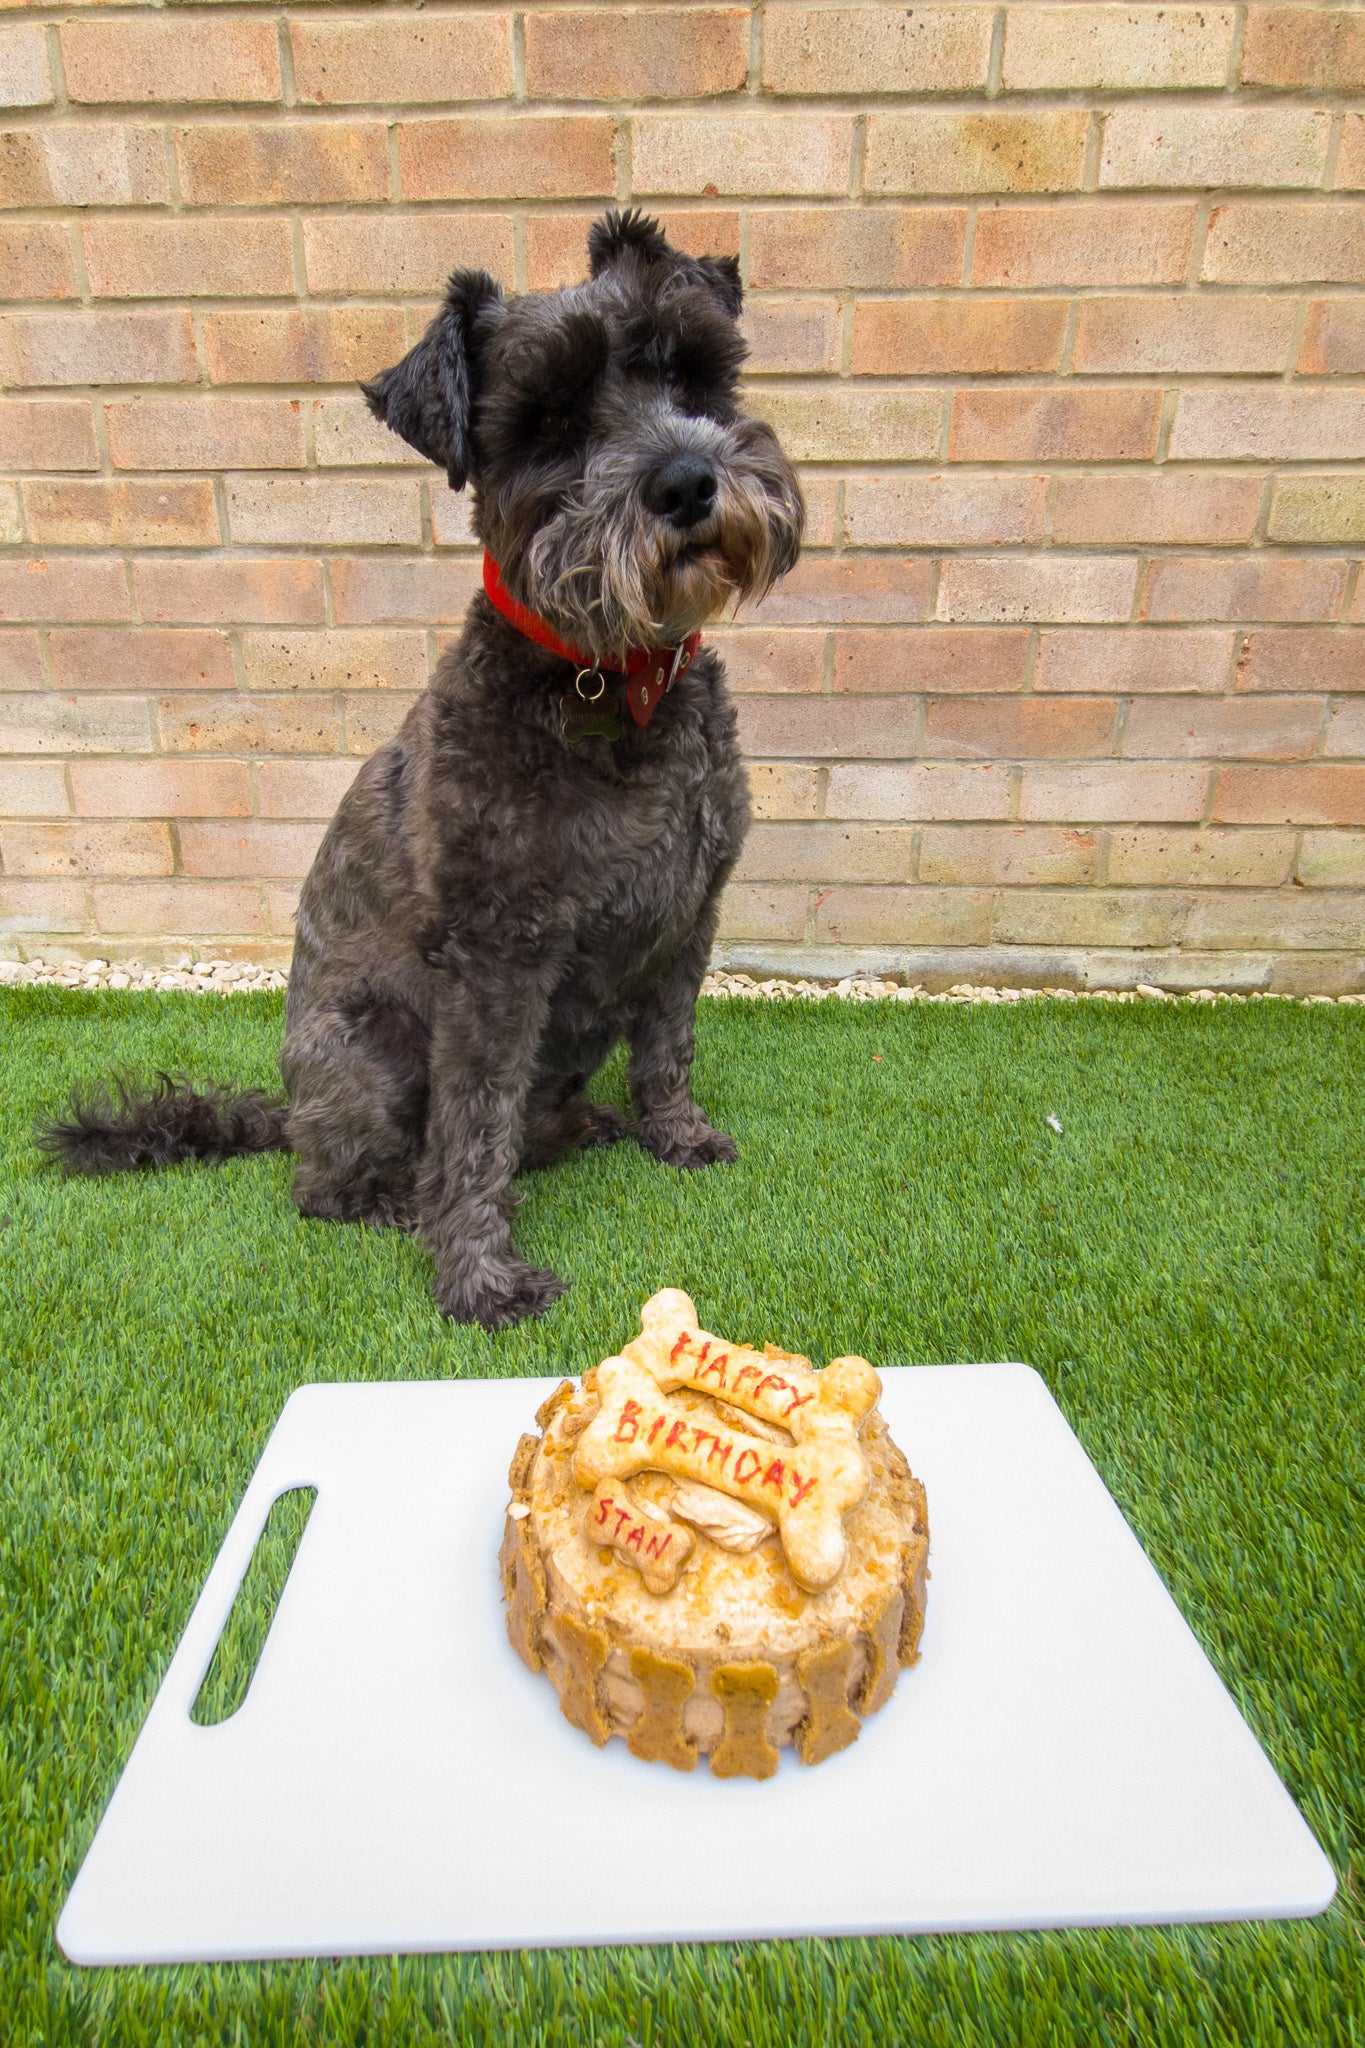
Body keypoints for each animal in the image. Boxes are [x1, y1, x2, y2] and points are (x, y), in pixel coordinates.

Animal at [42, 207, 806, 1327]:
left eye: (689, 372)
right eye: (547, 423)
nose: (685, 482)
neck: (612, 683)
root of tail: (285, 1112)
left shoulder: (689, 916)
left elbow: (668, 1044)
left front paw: (679, 1133)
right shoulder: (496, 957)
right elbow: (475, 1125)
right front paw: (480, 1274)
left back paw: (581, 1126)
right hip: (371, 1045)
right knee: (330, 1181)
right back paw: (400, 1199)